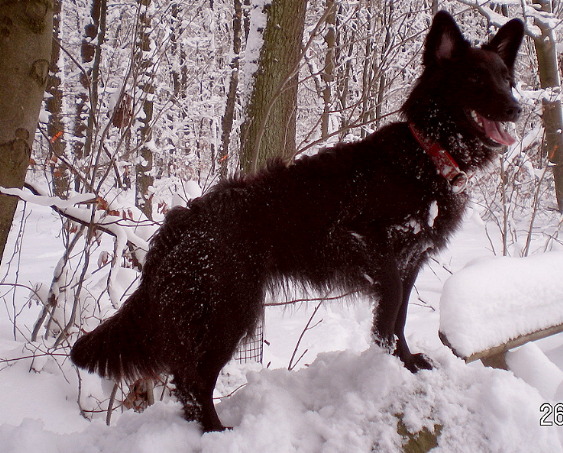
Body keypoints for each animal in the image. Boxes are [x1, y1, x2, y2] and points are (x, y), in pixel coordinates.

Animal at [70, 11, 524, 430]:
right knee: (192, 380)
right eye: (475, 78)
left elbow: (401, 316)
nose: (517, 108)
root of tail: (178, 224)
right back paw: (217, 431)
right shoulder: (355, 238)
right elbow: (391, 304)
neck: (426, 156)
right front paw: (385, 353)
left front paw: (405, 363)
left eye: (507, 78)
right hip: (230, 311)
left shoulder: (411, 261)